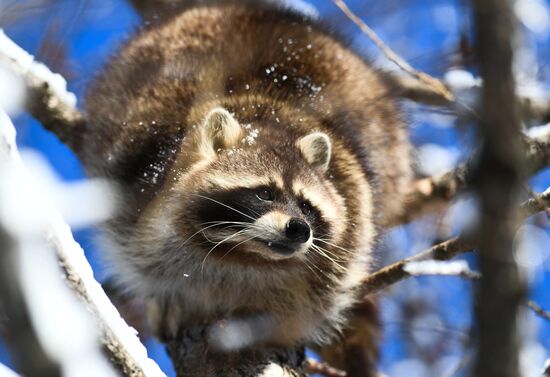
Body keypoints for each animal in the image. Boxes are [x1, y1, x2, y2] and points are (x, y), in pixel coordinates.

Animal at [80, 0, 412, 368]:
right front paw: (166, 299)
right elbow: (137, 256)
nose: (298, 228)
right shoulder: (135, 182)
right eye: (265, 193)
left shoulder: (352, 217)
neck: (244, 255)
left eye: (306, 205)